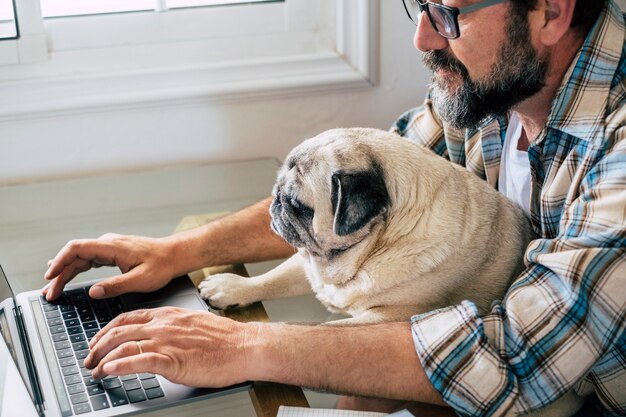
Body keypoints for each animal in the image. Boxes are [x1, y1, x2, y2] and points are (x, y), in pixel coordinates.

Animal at [197, 128, 532, 324]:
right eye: (278, 187)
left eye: (299, 206)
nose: (276, 201)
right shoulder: (311, 267)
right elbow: (273, 279)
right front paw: (231, 288)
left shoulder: (390, 319)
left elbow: (321, 329)